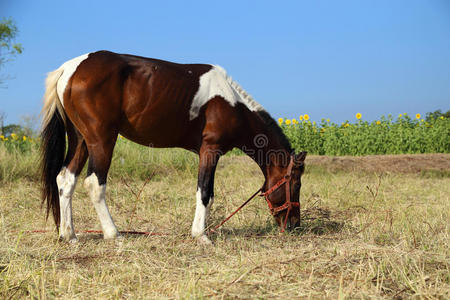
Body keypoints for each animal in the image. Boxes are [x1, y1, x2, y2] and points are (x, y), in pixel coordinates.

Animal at [40, 51, 308, 244]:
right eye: (296, 184)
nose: (294, 225)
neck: (233, 103)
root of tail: (69, 69)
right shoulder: (210, 150)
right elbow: (205, 192)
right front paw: (201, 235)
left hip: (81, 140)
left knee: (65, 180)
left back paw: (69, 235)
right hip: (101, 140)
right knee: (95, 183)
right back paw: (113, 234)